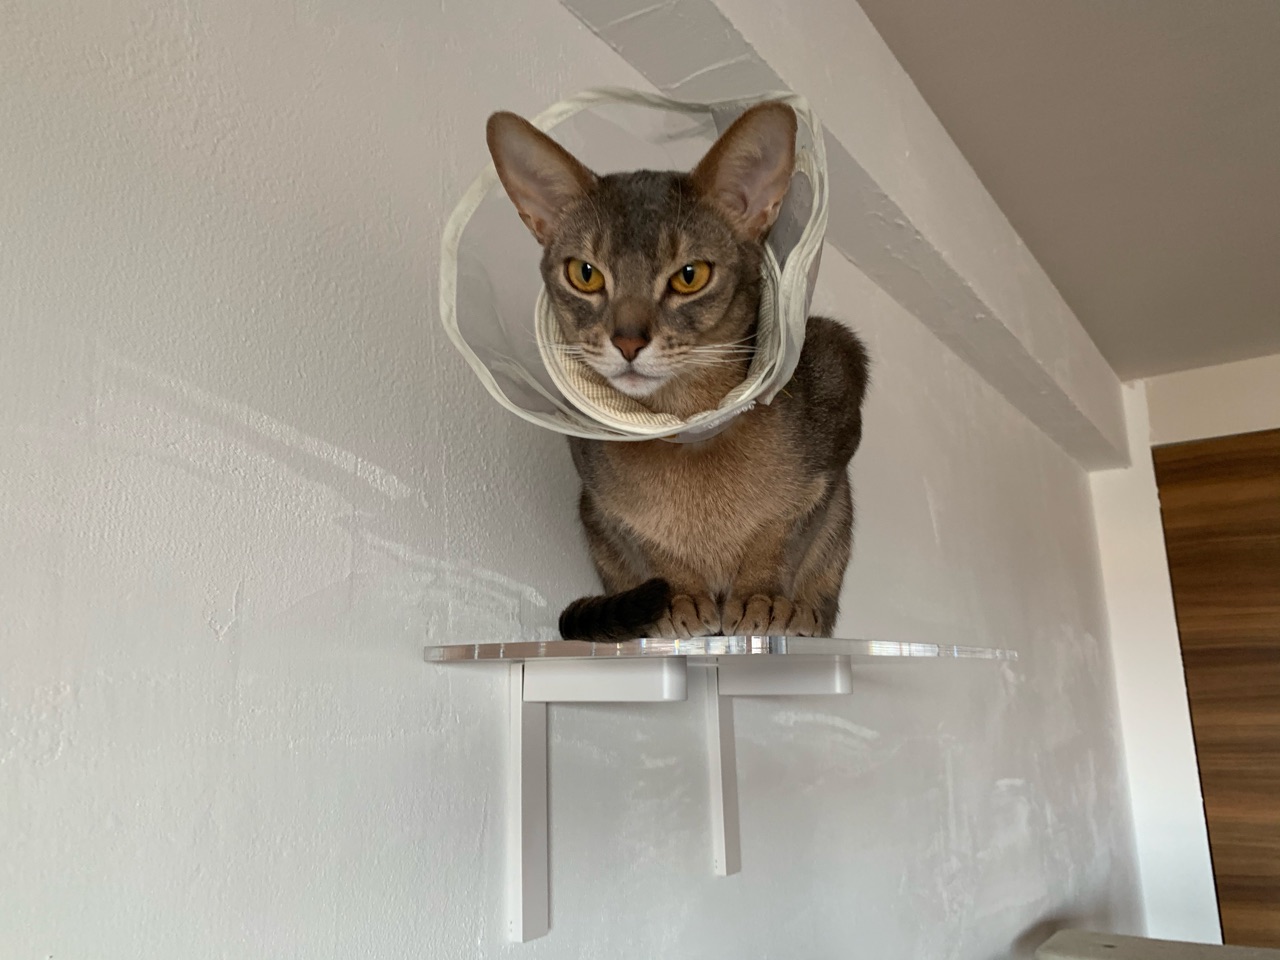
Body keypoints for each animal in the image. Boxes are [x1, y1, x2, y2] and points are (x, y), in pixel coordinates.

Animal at [486, 101, 869, 640]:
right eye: (585, 274)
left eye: (690, 276)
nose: (627, 341)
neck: (690, 432)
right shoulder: (602, 499)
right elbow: (653, 548)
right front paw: (681, 599)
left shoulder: (838, 419)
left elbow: (782, 537)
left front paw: (762, 598)